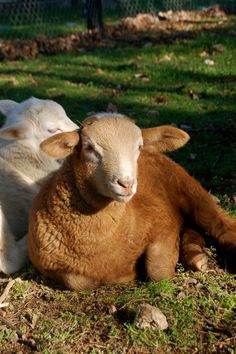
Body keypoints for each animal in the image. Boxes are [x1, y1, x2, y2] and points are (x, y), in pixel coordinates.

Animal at [28, 114, 236, 290]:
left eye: (139, 147)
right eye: (89, 148)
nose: (126, 184)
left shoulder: (165, 222)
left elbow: (158, 270)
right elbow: (78, 282)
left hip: (188, 186)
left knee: (218, 223)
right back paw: (195, 255)